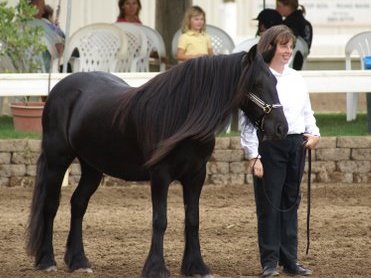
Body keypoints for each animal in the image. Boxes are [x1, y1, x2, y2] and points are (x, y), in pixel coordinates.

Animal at [26, 48, 288, 276]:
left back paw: (79, 261)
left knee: (78, 204)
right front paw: (156, 268)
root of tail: (60, 88)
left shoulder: (196, 175)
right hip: (57, 160)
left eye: (275, 83)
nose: (281, 128)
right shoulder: (160, 175)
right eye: (256, 84)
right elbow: (160, 220)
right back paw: (47, 261)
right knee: (50, 206)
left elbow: (193, 219)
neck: (183, 114)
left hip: (92, 166)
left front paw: (196, 267)